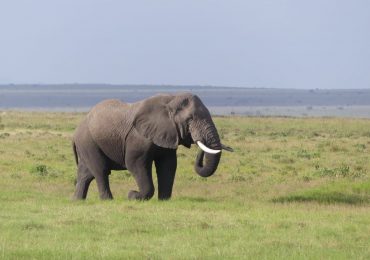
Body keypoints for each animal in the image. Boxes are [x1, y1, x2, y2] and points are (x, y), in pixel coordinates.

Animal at [72, 92, 233, 200]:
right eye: (190, 119)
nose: (199, 140)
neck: (171, 99)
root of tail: (75, 133)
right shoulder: (138, 138)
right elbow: (135, 164)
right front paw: (133, 195)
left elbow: (168, 165)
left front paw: (164, 200)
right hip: (89, 142)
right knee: (101, 171)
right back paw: (108, 200)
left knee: (86, 174)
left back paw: (77, 201)